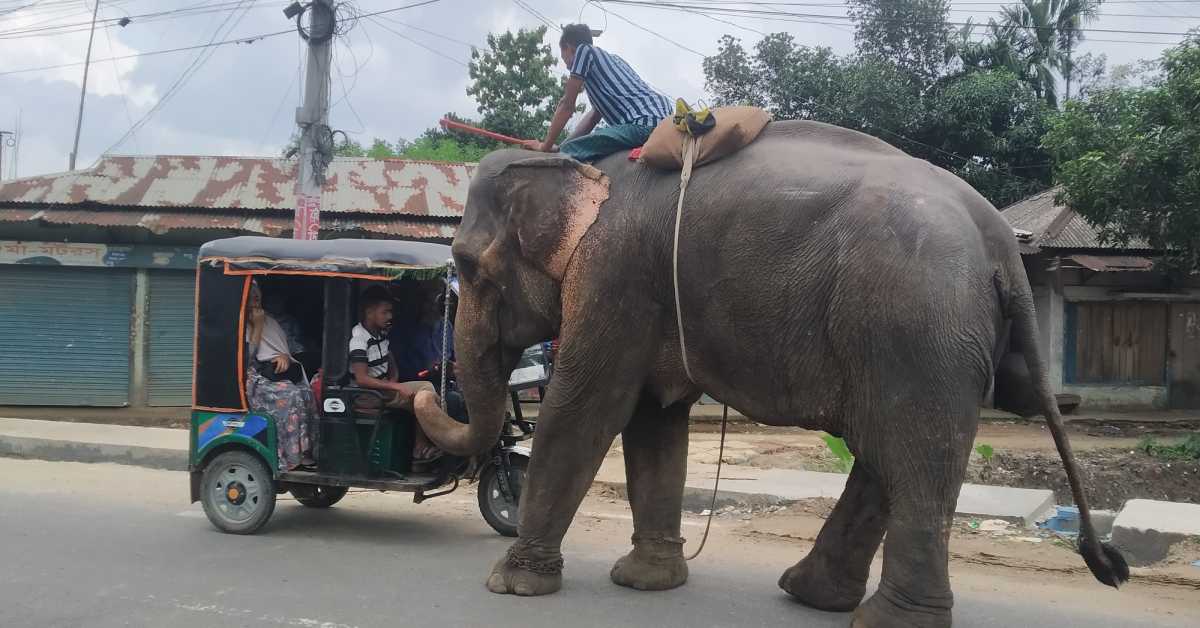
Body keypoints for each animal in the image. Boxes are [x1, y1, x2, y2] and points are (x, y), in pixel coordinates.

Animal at [412, 120, 1123, 624]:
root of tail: (1000, 238)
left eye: (467, 265)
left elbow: (586, 409)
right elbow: (655, 421)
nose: (421, 390)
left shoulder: (614, 272)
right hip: (922, 333)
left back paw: (884, 621)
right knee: (887, 453)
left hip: (914, 321)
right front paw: (645, 583)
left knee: (911, 452)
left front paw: (511, 585)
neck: (576, 166)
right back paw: (813, 595)